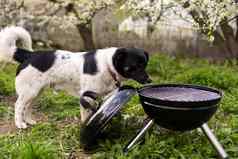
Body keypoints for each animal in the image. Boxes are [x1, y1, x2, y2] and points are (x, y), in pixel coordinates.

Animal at [0, 26, 152, 128]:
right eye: (134, 66)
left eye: (145, 65)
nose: (149, 80)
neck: (108, 65)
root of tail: (29, 55)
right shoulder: (86, 96)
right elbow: (86, 115)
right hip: (29, 92)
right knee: (18, 105)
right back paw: (20, 124)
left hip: (36, 92)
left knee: (28, 106)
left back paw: (29, 121)